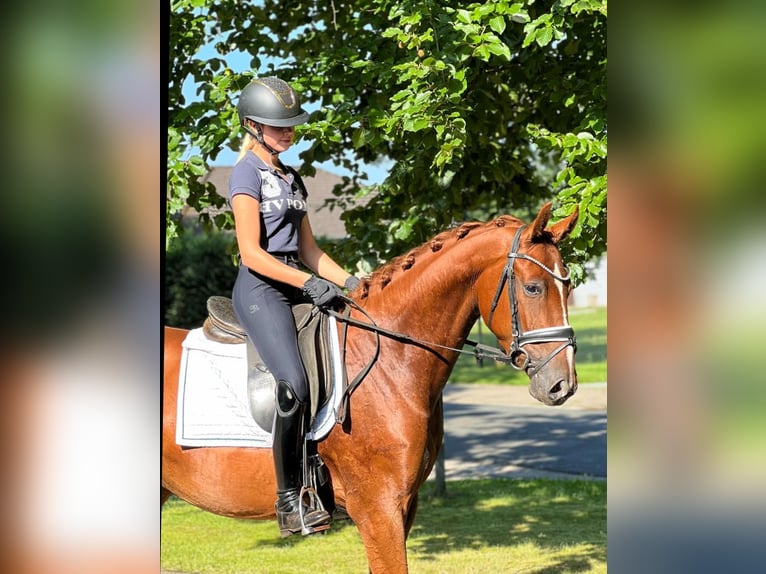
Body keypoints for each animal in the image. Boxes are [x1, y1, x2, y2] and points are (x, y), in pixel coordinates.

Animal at [164, 201, 584, 572]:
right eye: (533, 288)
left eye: (570, 288)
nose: (561, 384)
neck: (391, 360)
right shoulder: (379, 509)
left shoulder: (403, 506)